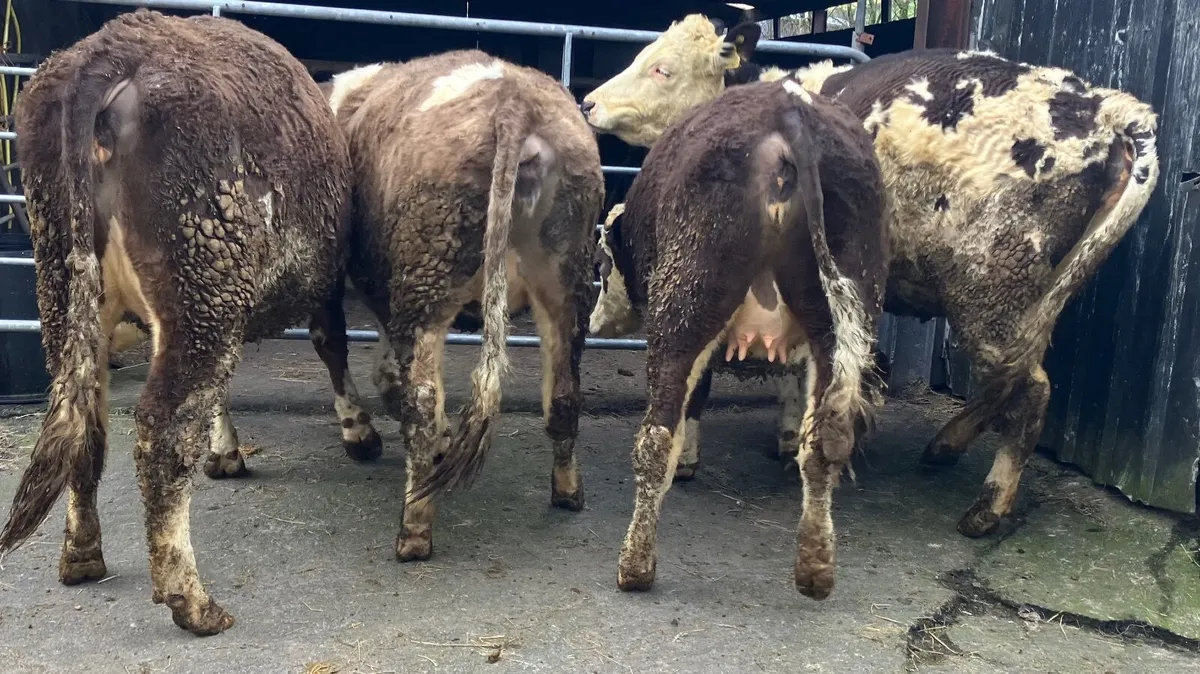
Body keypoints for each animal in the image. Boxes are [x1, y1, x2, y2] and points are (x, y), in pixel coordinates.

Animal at [0, 10, 355, 635]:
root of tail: (111, 47)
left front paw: (225, 452)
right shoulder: (325, 281)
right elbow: (330, 344)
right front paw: (359, 431)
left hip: (71, 290)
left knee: (86, 424)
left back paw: (81, 555)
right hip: (204, 276)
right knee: (162, 431)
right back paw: (191, 600)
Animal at [320, 51, 604, 561]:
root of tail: (515, 104)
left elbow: (336, 344)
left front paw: (361, 434)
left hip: (427, 274)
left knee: (421, 400)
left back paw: (414, 529)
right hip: (564, 279)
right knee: (564, 394)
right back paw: (568, 492)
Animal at [583, 15, 1159, 540]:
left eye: (662, 68)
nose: (589, 103)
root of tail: (1109, 108)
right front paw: (791, 431)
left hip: (992, 291)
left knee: (1030, 389)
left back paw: (988, 506)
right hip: (1032, 300)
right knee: (1012, 379)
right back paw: (946, 444)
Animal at [602, 76, 889, 598]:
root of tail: (789, 109)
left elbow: (693, 403)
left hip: (686, 304)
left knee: (656, 437)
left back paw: (635, 566)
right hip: (840, 319)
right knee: (823, 444)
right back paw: (815, 569)